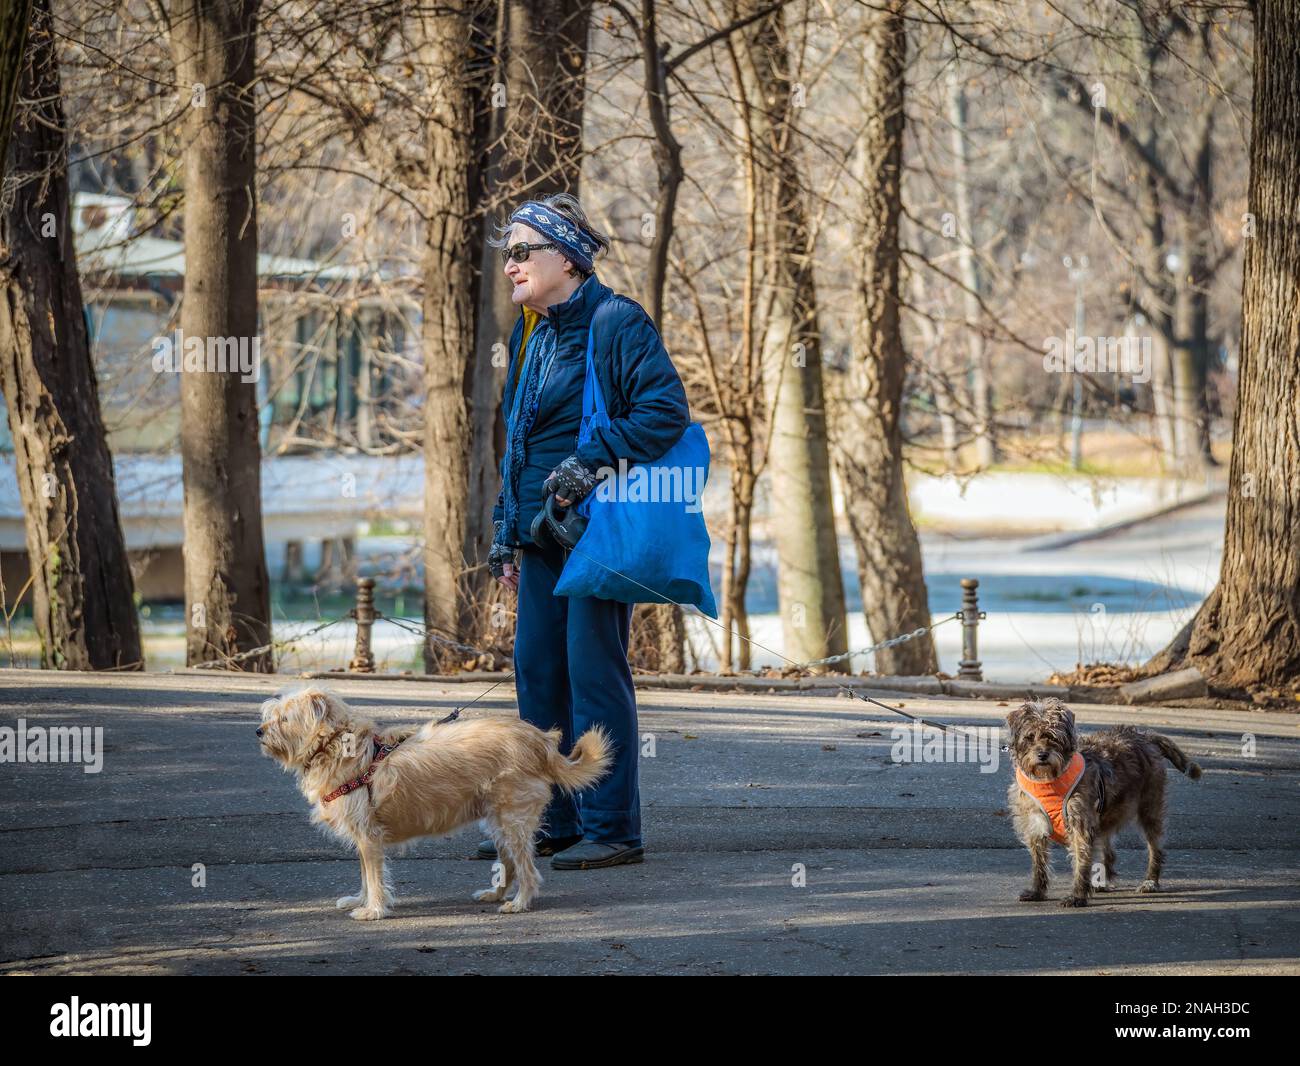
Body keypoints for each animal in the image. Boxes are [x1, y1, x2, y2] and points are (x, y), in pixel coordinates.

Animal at [261, 686, 616, 920]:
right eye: (272, 716)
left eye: (285, 719)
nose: (258, 732)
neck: (336, 745)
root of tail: (540, 741)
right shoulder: (364, 838)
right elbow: (364, 875)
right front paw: (360, 900)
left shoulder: (368, 836)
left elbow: (374, 877)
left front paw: (373, 909)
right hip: (497, 820)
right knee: (509, 862)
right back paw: (496, 893)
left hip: (512, 818)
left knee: (527, 868)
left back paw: (519, 902)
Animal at [1003, 702, 1206, 909]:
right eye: (1029, 737)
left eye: (1053, 737)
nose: (1043, 754)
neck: (1048, 780)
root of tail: (1145, 736)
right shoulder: (1035, 826)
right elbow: (1039, 863)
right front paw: (1037, 891)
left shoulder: (1080, 826)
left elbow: (1081, 862)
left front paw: (1077, 896)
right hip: (1106, 819)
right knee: (1109, 853)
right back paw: (1102, 882)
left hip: (1149, 811)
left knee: (1155, 848)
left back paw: (1150, 882)